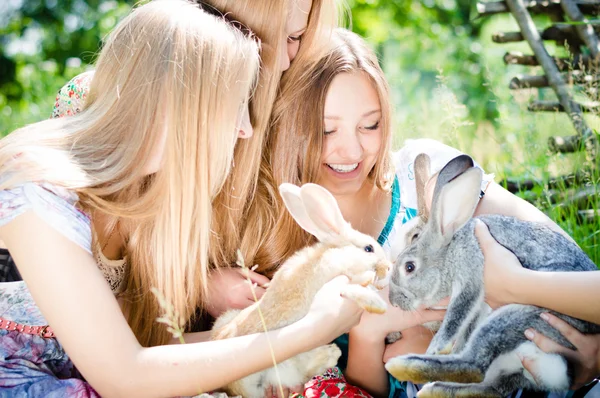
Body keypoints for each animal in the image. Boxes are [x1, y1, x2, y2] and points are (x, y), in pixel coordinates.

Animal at [384, 154, 600, 398]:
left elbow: (455, 317)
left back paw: (404, 366)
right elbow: (464, 329)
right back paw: (433, 389)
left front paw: (436, 348)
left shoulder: (470, 275)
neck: (450, 248)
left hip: (520, 317)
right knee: (491, 386)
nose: (393, 301)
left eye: (409, 267)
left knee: (475, 365)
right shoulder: (478, 308)